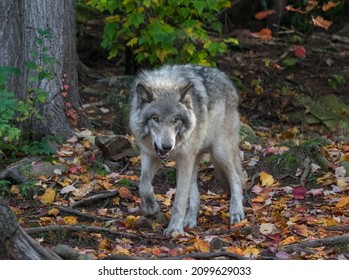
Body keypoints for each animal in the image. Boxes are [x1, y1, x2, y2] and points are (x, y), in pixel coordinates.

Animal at [128, 64, 245, 235]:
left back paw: (236, 213)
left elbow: (180, 199)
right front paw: (151, 208)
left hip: (219, 152)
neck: (166, 83)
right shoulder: (149, 154)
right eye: (155, 119)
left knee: (236, 177)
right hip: (194, 158)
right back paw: (190, 220)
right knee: (195, 191)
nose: (167, 146)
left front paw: (175, 229)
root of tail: (225, 77)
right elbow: (144, 185)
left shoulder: (184, 158)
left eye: (176, 119)